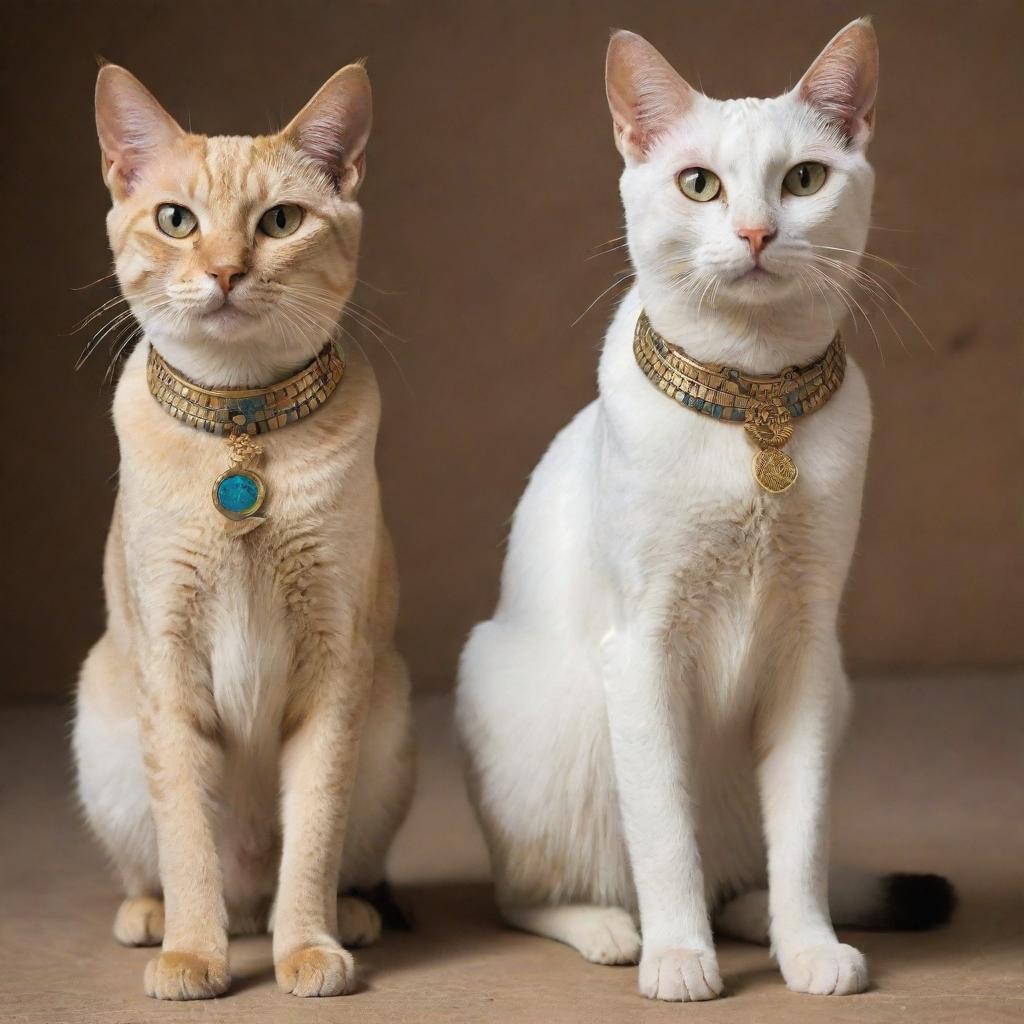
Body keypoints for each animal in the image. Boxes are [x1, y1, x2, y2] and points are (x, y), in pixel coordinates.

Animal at [72, 59, 415, 995]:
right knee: (164, 868)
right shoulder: (170, 660)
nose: (225, 272)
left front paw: (308, 951)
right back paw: (153, 920)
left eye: (280, 222)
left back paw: (346, 918)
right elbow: (187, 840)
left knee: (321, 870)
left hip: (389, 714)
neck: (241, 424)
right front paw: (195, 955)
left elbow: (314, 838)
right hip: (103, 720)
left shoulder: (335, 664)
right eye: (176, 221)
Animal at [456, 19, 950, 1003]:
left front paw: (810, 950)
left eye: (804, 179)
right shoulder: (645, 650)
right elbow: (663, 837)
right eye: (699, 184)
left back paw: (755, 920)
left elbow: (801, 837)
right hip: (509, 699)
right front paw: (680, 960)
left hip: (832, 697)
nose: (756, 231)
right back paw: (616, 932)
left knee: (736, 874)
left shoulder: (808, 650)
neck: (754, 401)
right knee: (529, 895)